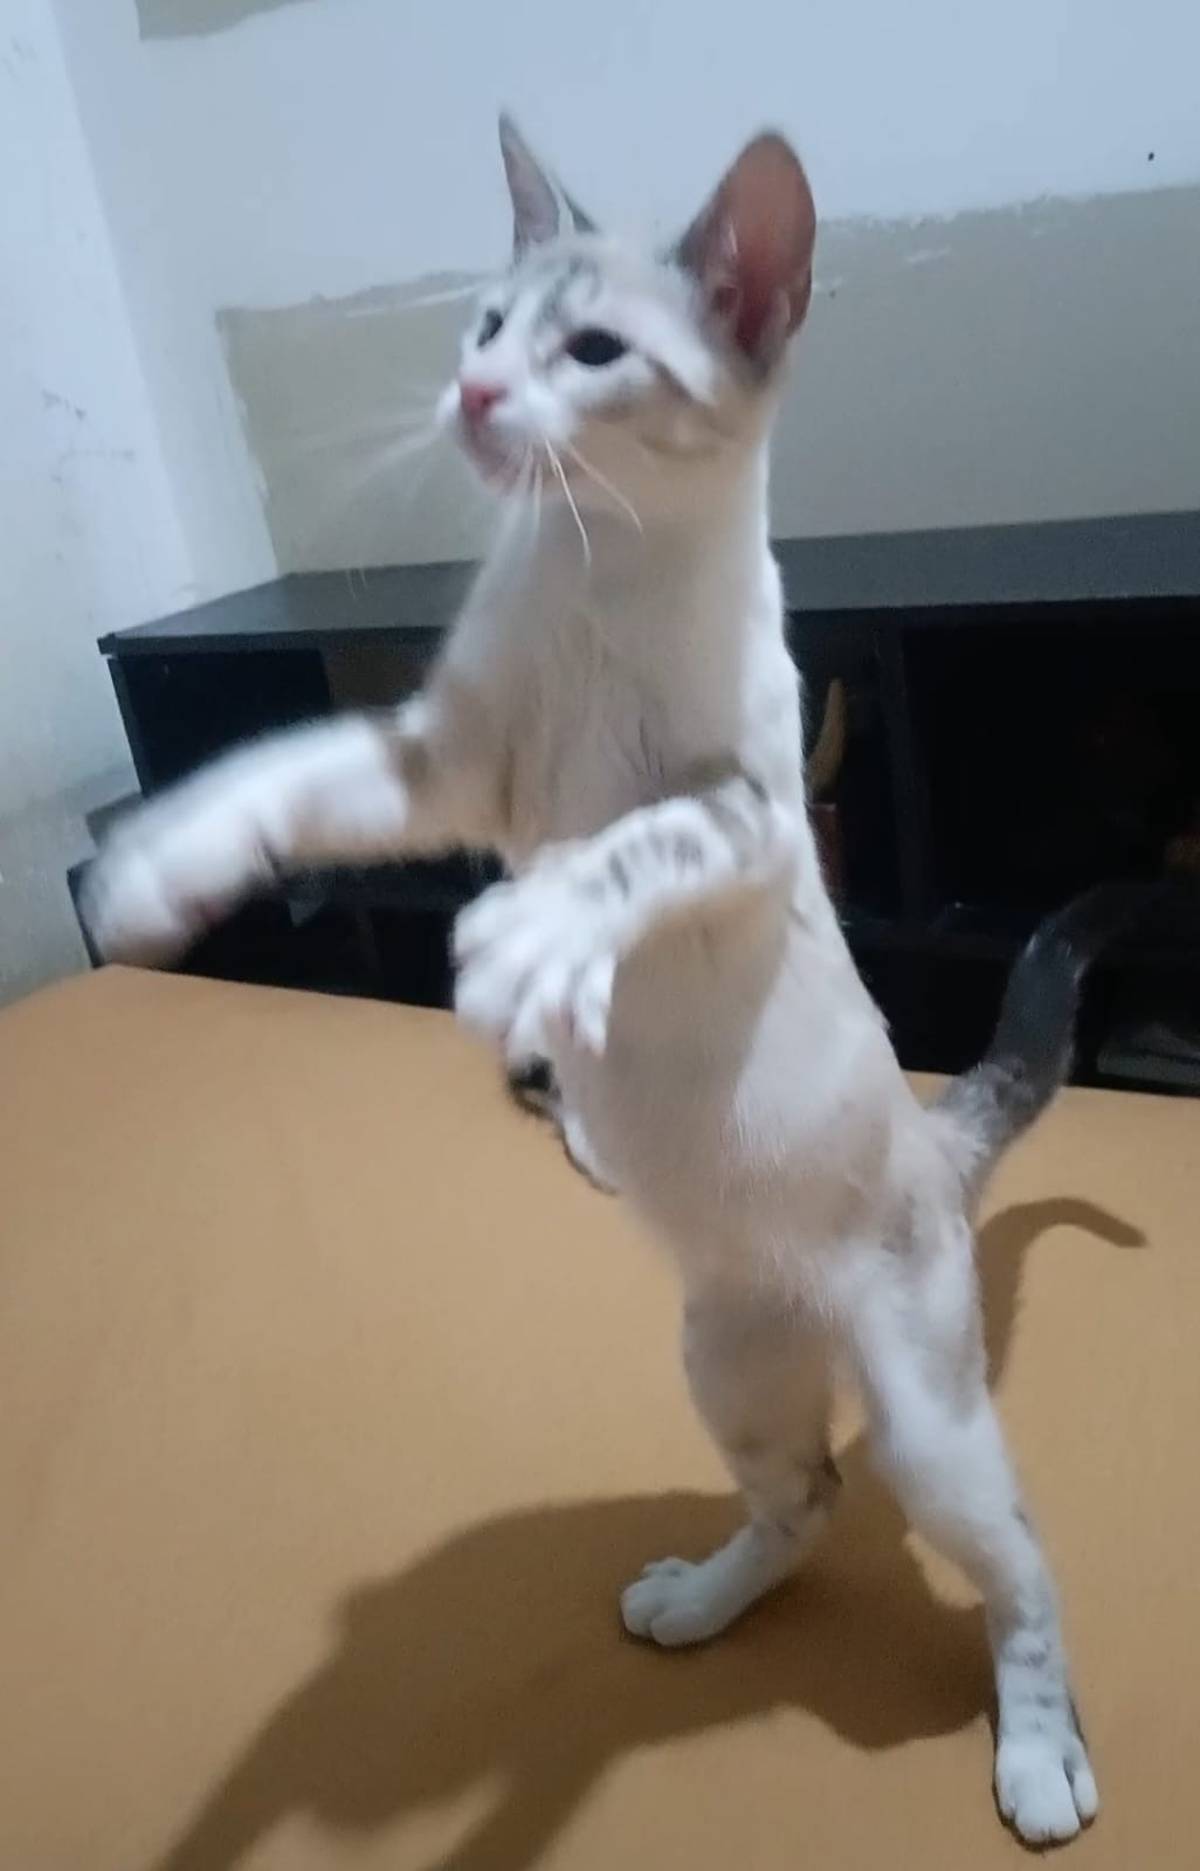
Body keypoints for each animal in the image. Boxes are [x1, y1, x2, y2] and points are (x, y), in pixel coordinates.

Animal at [84, 116, 1102, 1845]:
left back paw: (1038, 1752)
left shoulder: (753, 810)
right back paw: (695, 1595)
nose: (479, 397)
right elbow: (279, 768)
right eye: (488, 326)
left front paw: (539, 936)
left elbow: (639, 840)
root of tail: (927, 1138)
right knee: (807, 1493)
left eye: (596, 353)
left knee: (1016, 1554)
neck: (587, 568)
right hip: (726, 1357)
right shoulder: (440, 764)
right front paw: (161, 859)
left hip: (929, 1419)